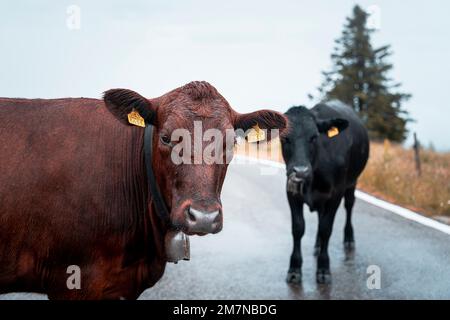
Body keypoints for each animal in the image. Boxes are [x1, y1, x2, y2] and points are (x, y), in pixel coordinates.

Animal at [282, 101, 370, 284]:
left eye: (314, 137)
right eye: (284, 138)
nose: (300, 171)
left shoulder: (335, 195)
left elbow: (326, 229)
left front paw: (323, 268)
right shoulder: (291, 192)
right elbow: (298, 228)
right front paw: (294, 268)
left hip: (352, 182)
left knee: (349, 206)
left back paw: (349, 239)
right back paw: (317, 245)